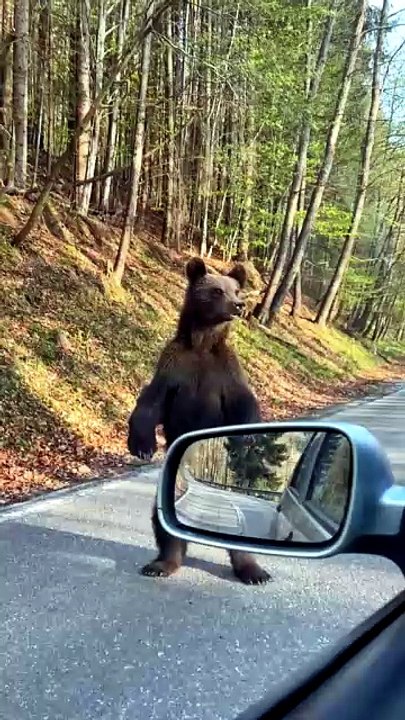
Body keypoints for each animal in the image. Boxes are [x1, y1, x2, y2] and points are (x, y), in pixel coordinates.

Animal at [128, 256, 271, 585]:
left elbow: (244, 404)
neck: (203, 343)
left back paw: (253, 570)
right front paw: (142, 445)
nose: (239, 305)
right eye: (217, 290)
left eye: (235, 288)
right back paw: (163, 563)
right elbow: (150, 404)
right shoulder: (174, 368)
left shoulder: (226, 374)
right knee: (163, 523)